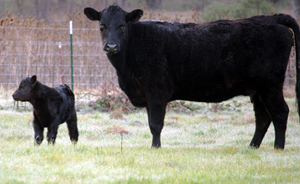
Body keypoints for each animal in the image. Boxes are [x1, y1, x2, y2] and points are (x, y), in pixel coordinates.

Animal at [84, 4, 300, 149]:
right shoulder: (146, 95)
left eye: (122, 26)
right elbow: (151, 123)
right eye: (102, 25)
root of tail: (270, 18)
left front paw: (155, 148)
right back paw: (252, 147)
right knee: (263, 117)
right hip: (257, 89)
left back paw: (278, 148)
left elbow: (155, 124)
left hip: (270, 84)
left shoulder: (157, 92)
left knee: (280, 112)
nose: (111, 46)